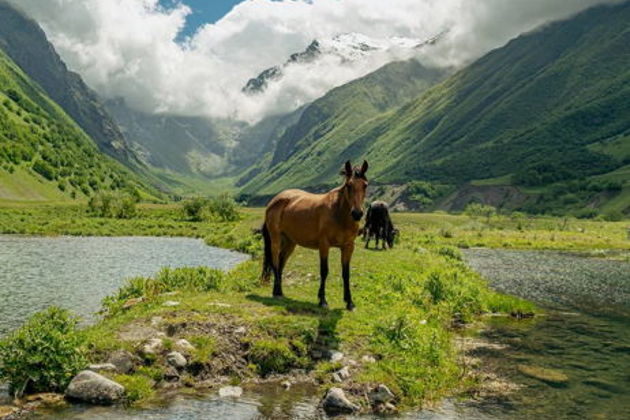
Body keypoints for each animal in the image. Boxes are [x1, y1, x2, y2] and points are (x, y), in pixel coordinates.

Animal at [262, 159, 370, 310]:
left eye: (365, 185)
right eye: (349, 185)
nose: (357, 213)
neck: (338, 213)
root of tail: (275, 200)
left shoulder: (348, 247)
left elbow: (346, 273)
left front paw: (349, 302)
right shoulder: (324, 245)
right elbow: (324, 271)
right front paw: (323, 300)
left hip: (290, 242)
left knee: (281, 263)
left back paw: (280, 291)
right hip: (276, 239)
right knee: (275, 262)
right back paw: (276, 292)